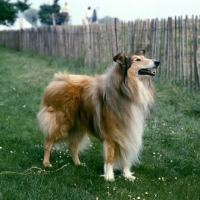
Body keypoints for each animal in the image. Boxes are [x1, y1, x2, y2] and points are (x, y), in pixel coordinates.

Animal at [37, 48, 159, 181]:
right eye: (138, 59)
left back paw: (78, 163)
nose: (157, 62)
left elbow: (125, 158)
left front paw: (127, 175)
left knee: (72, 147)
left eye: (144, 57)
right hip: (60, 125)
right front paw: (109, 177)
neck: (126, 90)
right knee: (47, 143)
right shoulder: (111, 135)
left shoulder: (127, 132)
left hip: (78, 127)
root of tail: (57, 80)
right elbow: (110, 158)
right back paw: (46, 163)